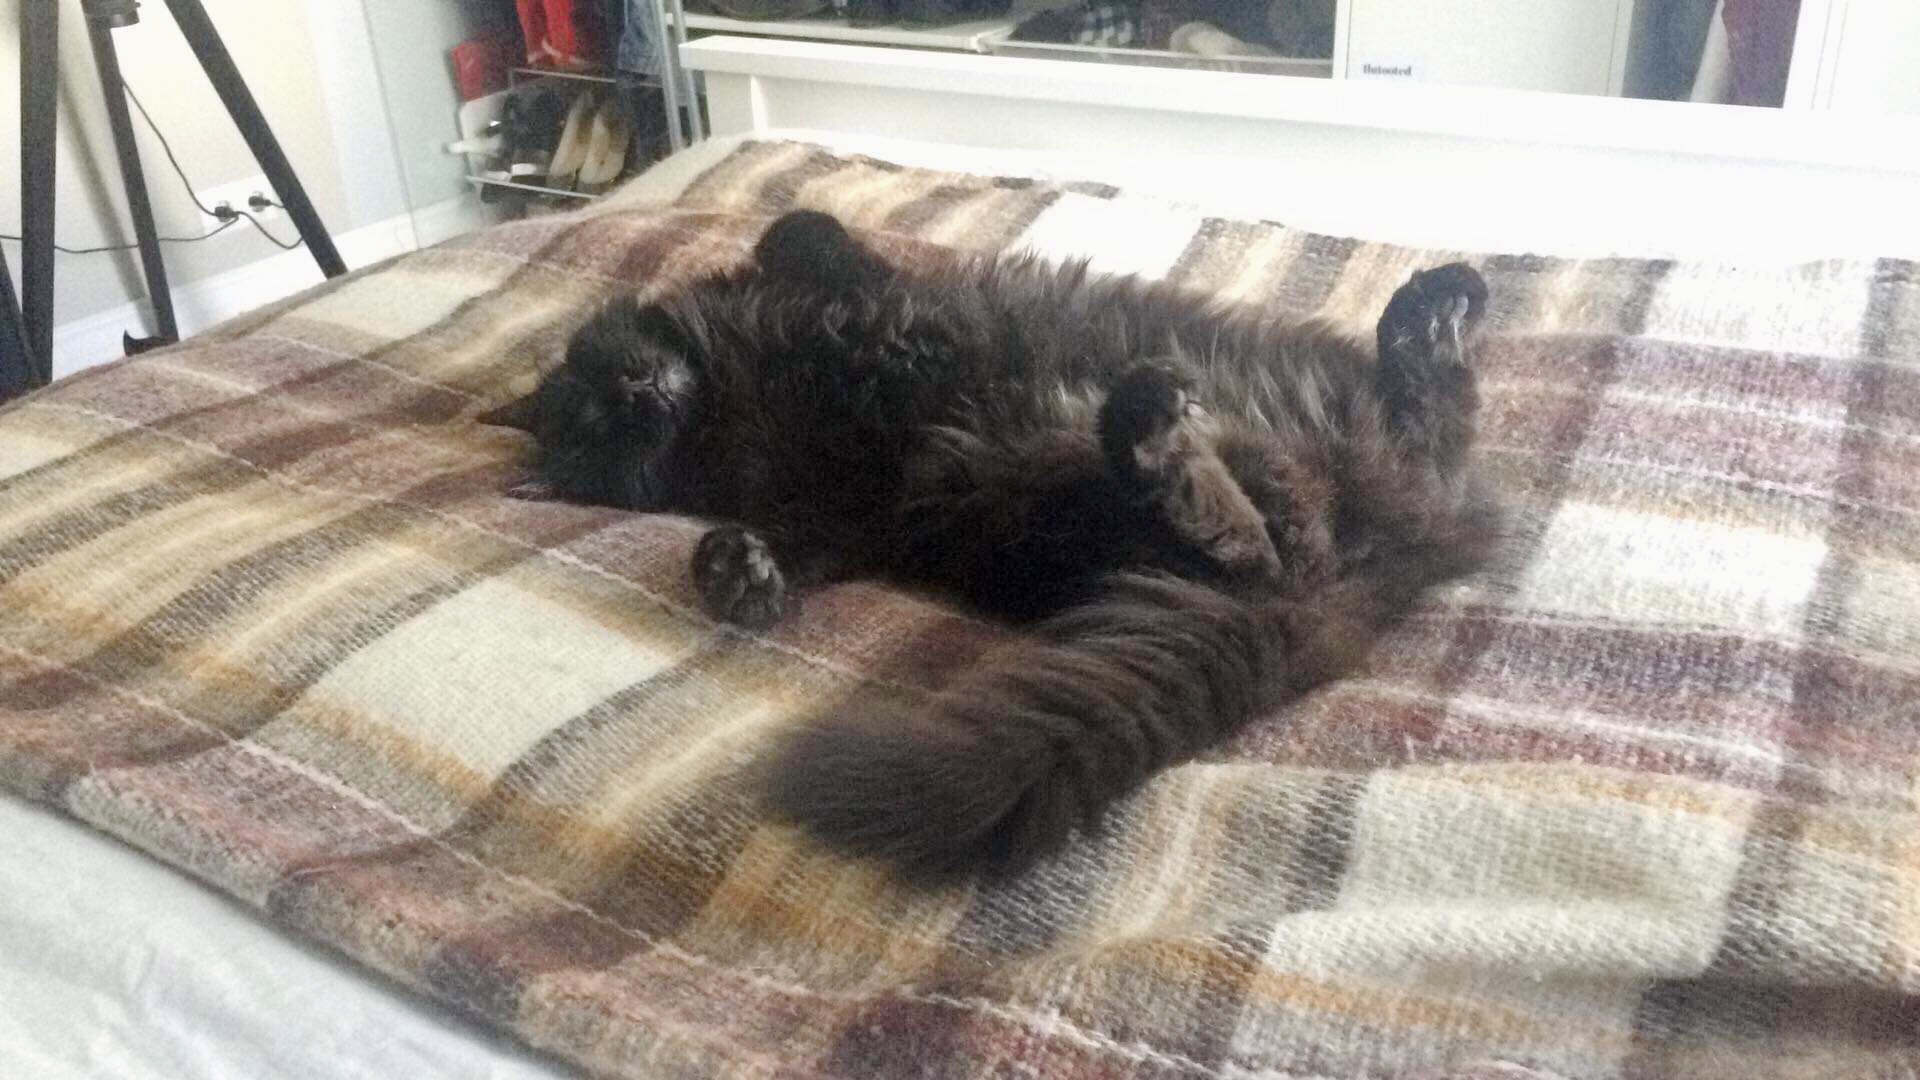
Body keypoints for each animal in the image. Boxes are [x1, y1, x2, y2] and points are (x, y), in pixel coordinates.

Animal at [487, 209, 1503, 881]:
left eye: (600, 372)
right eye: (598, 438)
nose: (636, 392)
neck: (737, 386)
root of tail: (1412, 554)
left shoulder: (848, 321)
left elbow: (807, 235)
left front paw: (795, 236)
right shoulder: (846, 506)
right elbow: (785, 555)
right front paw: (737, 572)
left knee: (1432, 421)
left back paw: (1432, 311)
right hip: (1063, 499)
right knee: (1259, 542)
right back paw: (1155, 422)